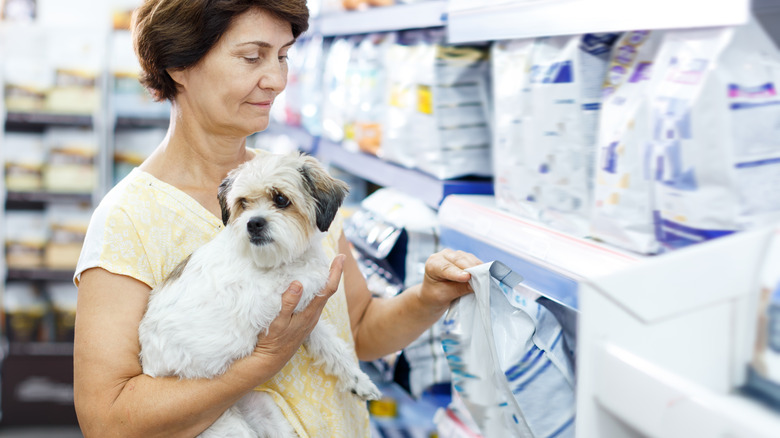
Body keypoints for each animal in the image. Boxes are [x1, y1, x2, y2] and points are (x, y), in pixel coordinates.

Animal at [142, 152, 386, 436]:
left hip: (264, 409)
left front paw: (358, 380)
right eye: (243, 203)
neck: (280, 261)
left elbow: (330, 345)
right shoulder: (269, 302)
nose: (253, 223)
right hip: (226, 429)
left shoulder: (305, 321)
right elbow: (311, 279)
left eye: (280, 199)